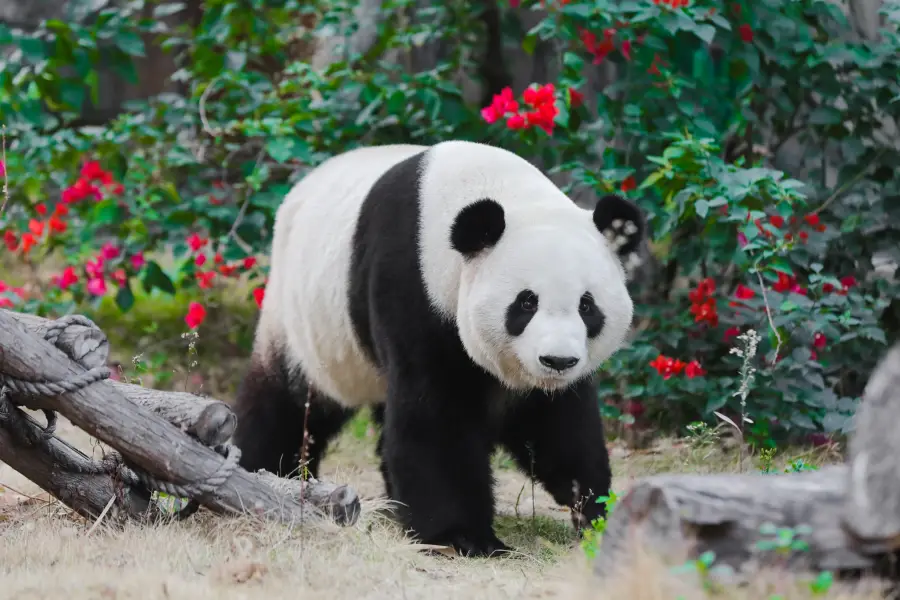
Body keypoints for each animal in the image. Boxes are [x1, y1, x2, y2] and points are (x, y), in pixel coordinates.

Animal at [229, 141, 644, 556]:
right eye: (527, 302)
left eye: (587, 306)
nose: (557, 361)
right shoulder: (413, 289)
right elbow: (435, 419)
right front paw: (463, 537)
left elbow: (560, 429)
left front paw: (594, 512)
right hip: (303, 319)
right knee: (286, 403)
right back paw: (267, 470)